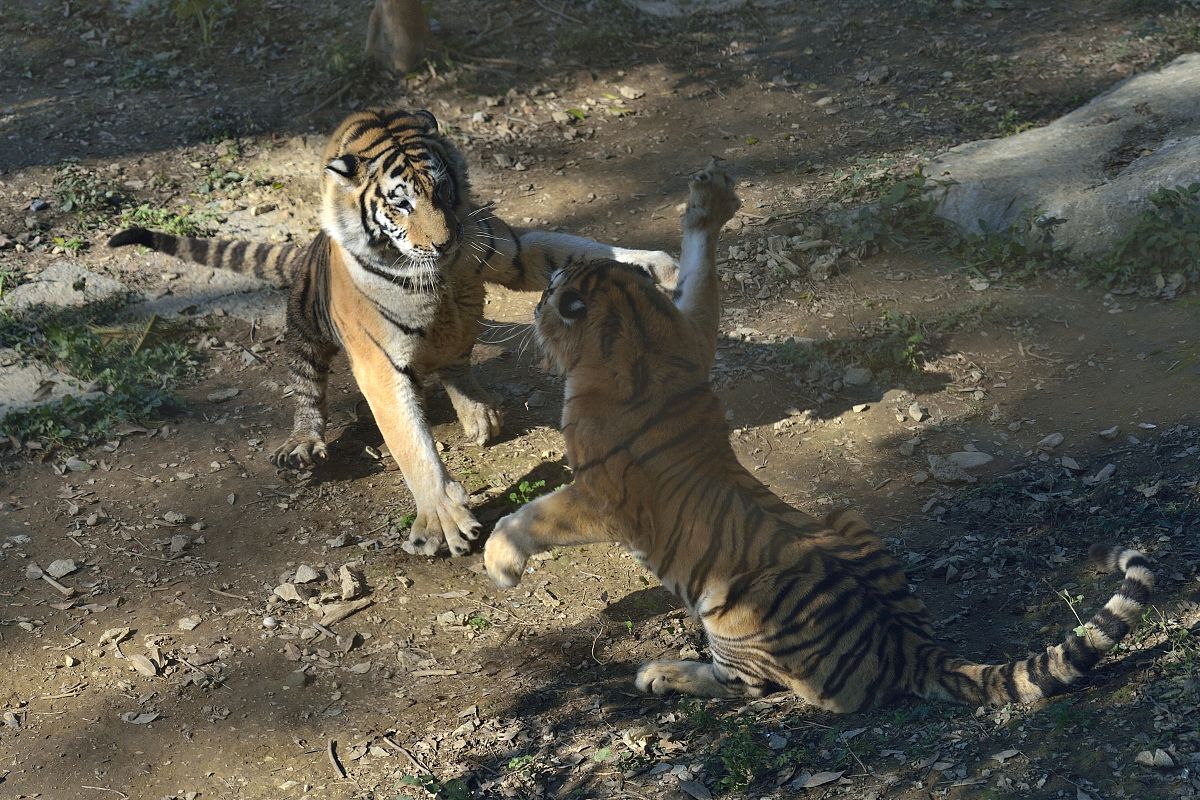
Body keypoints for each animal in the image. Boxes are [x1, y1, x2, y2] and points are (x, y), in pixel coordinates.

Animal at [108, 107, 678, 558]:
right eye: (401, 202)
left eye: (442, 189)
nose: (445, 244)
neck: (438, 273)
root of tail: (308, 249)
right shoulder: (377, 360)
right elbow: (410, 442)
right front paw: (443, 521)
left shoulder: (508, 249)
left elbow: (575, 248)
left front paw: (656, 265)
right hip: (306, 330)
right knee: (306, 386)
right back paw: (303, 442)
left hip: (462, 326)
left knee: (456, 361)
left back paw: (480, 413)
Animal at [483, 160, 1154, 711]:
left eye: (552, 290)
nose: (540, 293)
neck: (632, 333)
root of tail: (910, 647)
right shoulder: (691, 335)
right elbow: (699, 277)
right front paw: (708, 202)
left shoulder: (602, 492)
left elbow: (530, 518)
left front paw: (500, 564)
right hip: (840, 511)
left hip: (734, 614)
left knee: (747, 686)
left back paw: (661, 673)